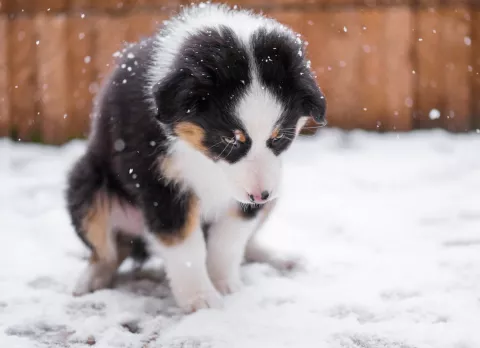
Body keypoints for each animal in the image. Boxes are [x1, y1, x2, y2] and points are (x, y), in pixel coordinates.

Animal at [65, 2, 326, 312]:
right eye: (230, 139)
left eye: (279, 137)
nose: (260, 196)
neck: (204, 157)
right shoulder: (161, 183)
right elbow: (185, 246)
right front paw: (200, 299)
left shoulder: (253, 187)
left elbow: (228, 240)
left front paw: (226, 285)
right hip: (86, 183)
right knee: (107, 251)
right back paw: (90, 281)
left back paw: (279, 257)